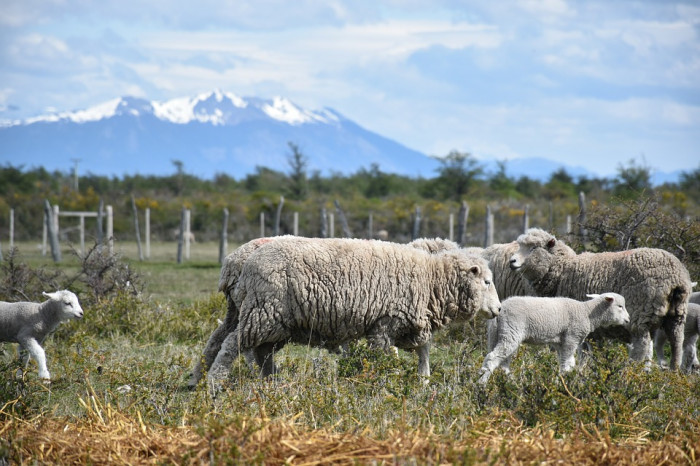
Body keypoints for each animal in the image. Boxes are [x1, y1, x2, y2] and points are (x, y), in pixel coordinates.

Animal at [208, 238, 504, 388]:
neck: (430, 279)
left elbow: (424, 351)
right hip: (263, 313)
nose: (499, 309)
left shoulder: (407, 324)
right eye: (487, 282)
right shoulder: (385, 324)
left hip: (256, 315)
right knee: (232, 345)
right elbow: (388, 358)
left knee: (226, 344)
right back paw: (215, 383)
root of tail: (239, 263)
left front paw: (423, 380)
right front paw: (390, 383)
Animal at [478, 294, 632, 384]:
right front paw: (565, 382)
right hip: (511, 331)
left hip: (497, 333)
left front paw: (563, 381)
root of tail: (501, 308)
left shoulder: (560, 343)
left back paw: (509, 383)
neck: (587, 313)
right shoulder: (571, 338)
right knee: (493, 358)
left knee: (502, 362)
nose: (628, 320)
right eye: (620, 306)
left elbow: (566, 363)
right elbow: (567, 364)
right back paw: (482, 384)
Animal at [508, 228, 696, 370]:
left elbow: (584, 352)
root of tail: (676, 278)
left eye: (534, 248)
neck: (563, 270)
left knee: (642, 347)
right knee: (676, 344)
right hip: (677, 314)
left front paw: (581, 371)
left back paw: (633, 372)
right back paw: (672, 373)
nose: (512, 261)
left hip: (640, 314)